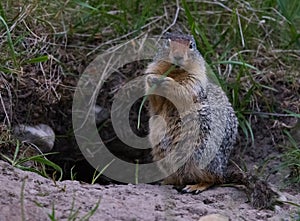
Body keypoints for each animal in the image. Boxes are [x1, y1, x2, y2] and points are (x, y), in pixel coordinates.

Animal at [144, 32, 238, 193]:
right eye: (167, 42)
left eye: (191, 45)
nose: (178, 56)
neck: (175, 72)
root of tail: (223, 169)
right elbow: (155, 101)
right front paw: (152, 80)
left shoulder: (195, 79)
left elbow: (184, 91)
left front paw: (168, 83)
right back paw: (166, 181)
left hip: (202, 154)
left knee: (215, 179)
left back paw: (195, 186)